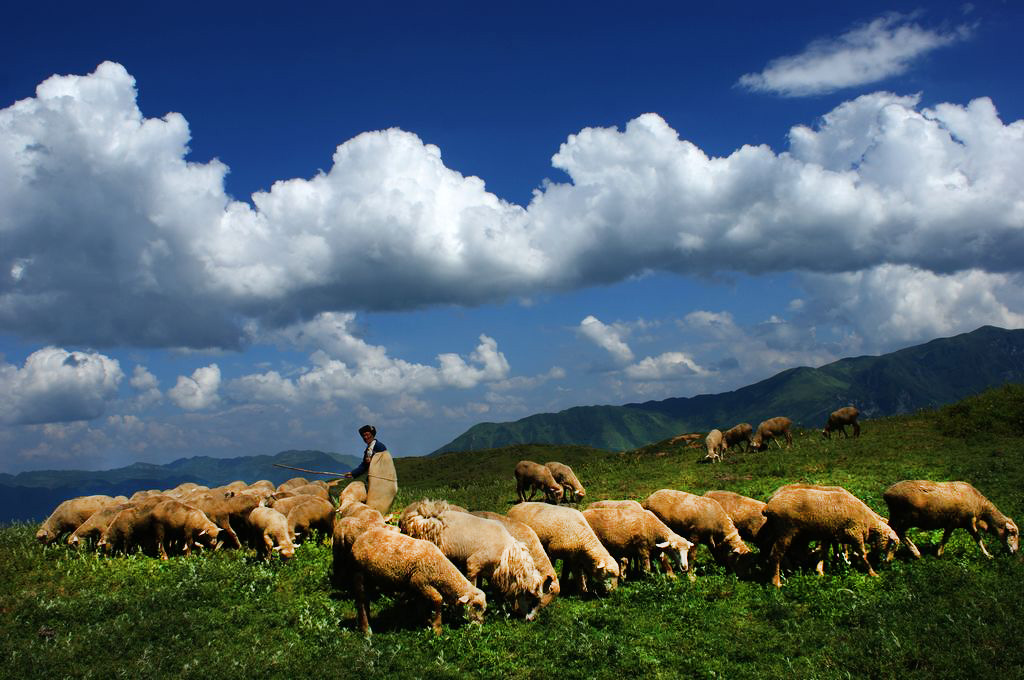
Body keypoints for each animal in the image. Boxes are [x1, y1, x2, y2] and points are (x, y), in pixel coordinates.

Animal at [350, 524, 485, 630]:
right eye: (476, 606)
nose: (479, 625)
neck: (440, 568)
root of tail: (360, 538)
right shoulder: (420, 582)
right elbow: (438, 599)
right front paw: (437, 628)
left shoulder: (418, 588)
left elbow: (420, 606)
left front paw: (425, 622)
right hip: (358, 573)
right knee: (361, 600)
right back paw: (366, 630)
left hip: (371, 577)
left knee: (366, 599)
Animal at [397, 497, 548, 618]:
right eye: (532, 598)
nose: (530, 620)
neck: (506, 553)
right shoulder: (473, 564)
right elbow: (473, 585)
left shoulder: (487, 570)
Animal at [761, 485, 897, 585]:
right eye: (892, 545)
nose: (889, 563)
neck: (869, 522)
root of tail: (768, 506)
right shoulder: (855, 534)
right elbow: (862, 555)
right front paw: (872, 573)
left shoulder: (829, 534)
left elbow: (824, 552)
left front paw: (820, 570)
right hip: (786, 531)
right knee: (775, 555)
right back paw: (776, 583)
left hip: (775, 531)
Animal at [884, 477, 1019, 557]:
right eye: (1012, 533)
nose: (1016, 551)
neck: (979, 507)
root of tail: (887, 493)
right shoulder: (957, 522)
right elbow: (950, 538)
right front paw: (939, 553)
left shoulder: (966, 524)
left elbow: (976, 538)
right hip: (905, 518)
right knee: (898, 531)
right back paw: (913, 552)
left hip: (897, 516)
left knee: (890, 528)